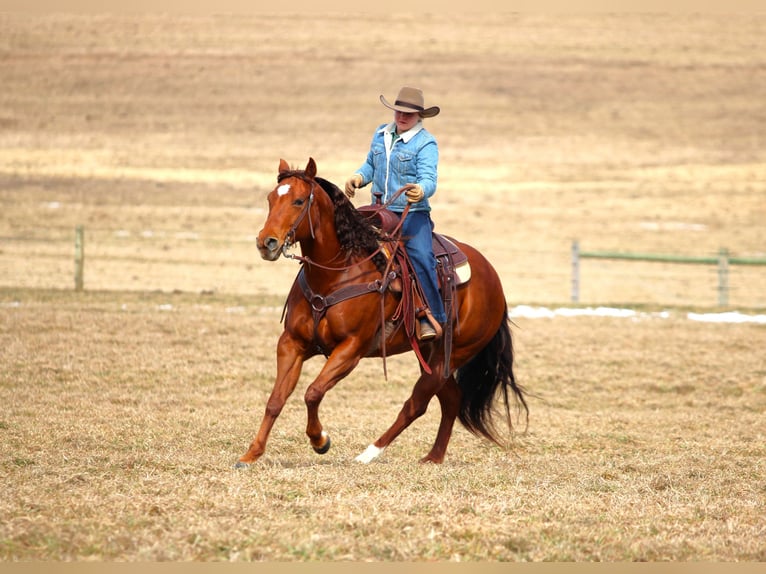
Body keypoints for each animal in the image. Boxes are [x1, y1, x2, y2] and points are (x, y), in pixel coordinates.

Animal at [237, 157, 528, 467]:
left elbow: (313, 392)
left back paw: (369, 453)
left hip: (453, 354)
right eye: (270, 199)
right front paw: (251, 454)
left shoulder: (351, 349)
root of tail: (493, 279)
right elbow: (276, 399)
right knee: (451, 399)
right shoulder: (292, 343)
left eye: (299, 200)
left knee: (417, 403)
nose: (266, 242)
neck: (336, 274)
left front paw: (320, 441)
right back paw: (433, 457)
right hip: (431, 354)